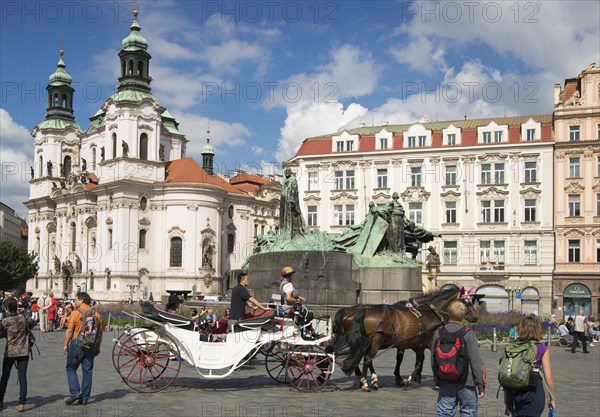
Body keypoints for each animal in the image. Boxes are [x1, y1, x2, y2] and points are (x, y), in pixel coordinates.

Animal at [342, 286, 482, 390]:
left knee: (361, 357)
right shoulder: (429, 343)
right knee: (367, 358)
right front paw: (411, 380)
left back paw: (367, 379)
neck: (433, 314)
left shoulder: (415, 343)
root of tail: (366, 310)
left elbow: (416, 360)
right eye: (466, 302)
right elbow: (423, 361)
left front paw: (411, 378)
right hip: (376, 341)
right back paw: (365, 382)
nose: (475, 317)